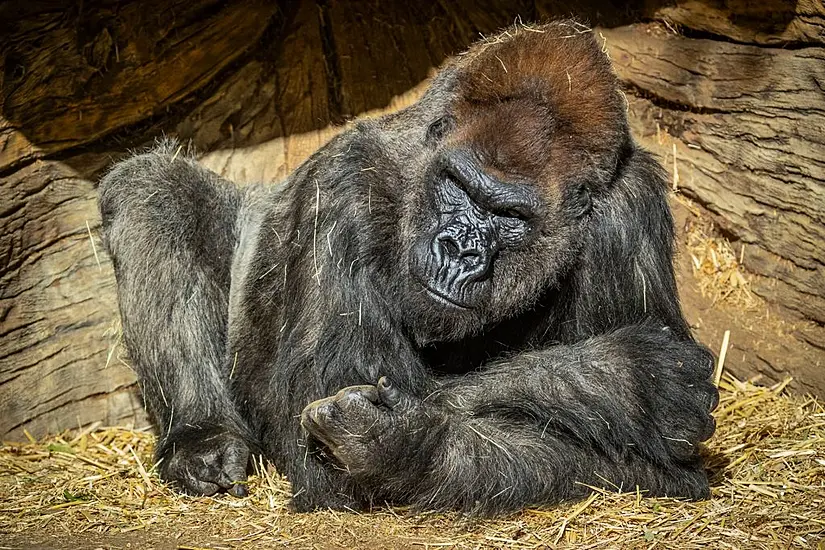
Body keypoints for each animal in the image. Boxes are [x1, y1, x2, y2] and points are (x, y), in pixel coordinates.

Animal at [95, 19, 716, 516]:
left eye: (510, 215)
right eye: (459, 187)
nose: (459, 249)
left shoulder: (630, 211)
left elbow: (659, 470)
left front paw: (403, 446)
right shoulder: (342, 188)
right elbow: (320, 440)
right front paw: (627, 379)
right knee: (154, 189)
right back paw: (201, 437)